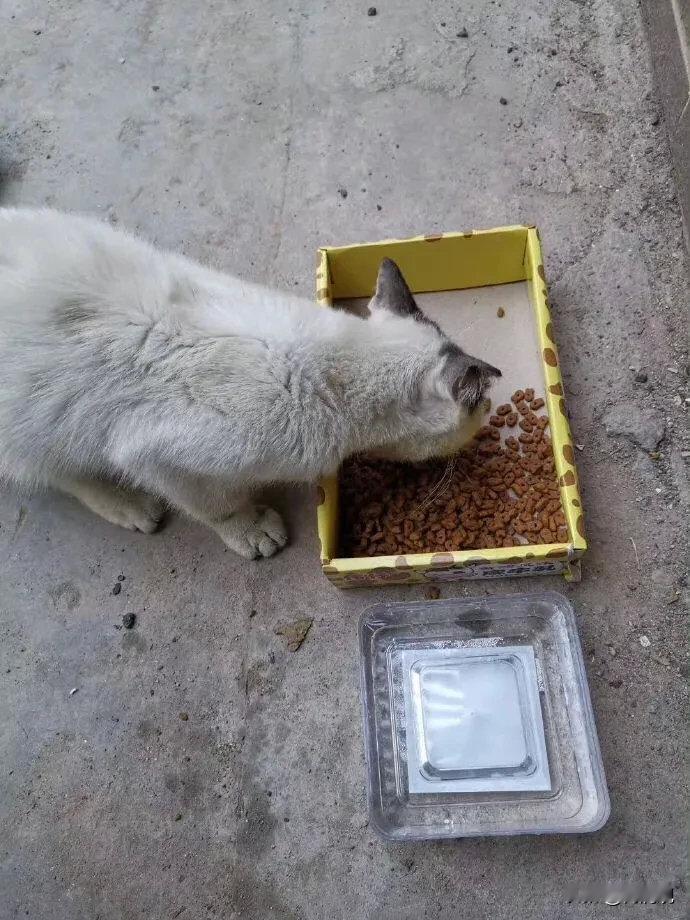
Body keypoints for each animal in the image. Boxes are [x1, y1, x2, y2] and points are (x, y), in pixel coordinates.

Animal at [0, 212, 498, 556]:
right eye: (481, 408)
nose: (491, 410)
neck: (324, 370)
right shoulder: (155, 455)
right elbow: (214, 505)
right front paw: (248, 528)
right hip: (39, 428)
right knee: (57, 471)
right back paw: (128, 504)